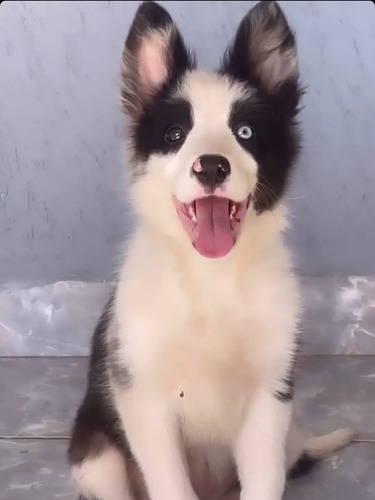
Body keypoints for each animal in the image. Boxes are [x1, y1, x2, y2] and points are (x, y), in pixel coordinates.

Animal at [68, 1, 356, 498]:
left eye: (245, 132)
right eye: (174, 135)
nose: (212, 167)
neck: (210, 277)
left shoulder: (271, 396)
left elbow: (264, 481)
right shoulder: (142, 398)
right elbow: (170, 483)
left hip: (287, 436)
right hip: (96, 457)